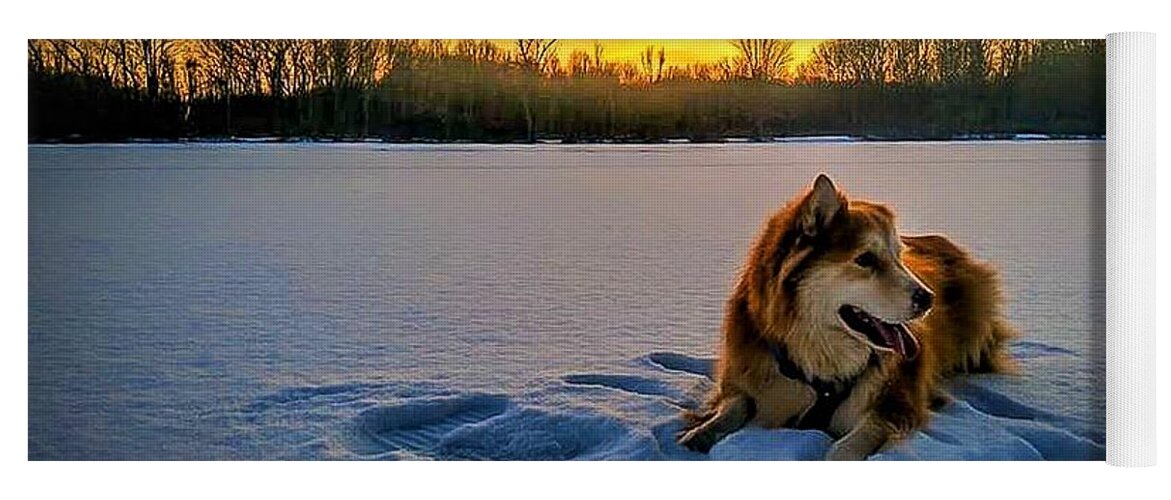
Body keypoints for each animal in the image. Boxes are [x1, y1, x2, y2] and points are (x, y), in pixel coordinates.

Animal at [679, 173, 1016, 461]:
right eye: (865, 259)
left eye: (899, 257)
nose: (929, 299)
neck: (816, 354)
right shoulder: (745, 374)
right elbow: (734, 405)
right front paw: (700, 433)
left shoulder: (894, 404)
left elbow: (848, 446)